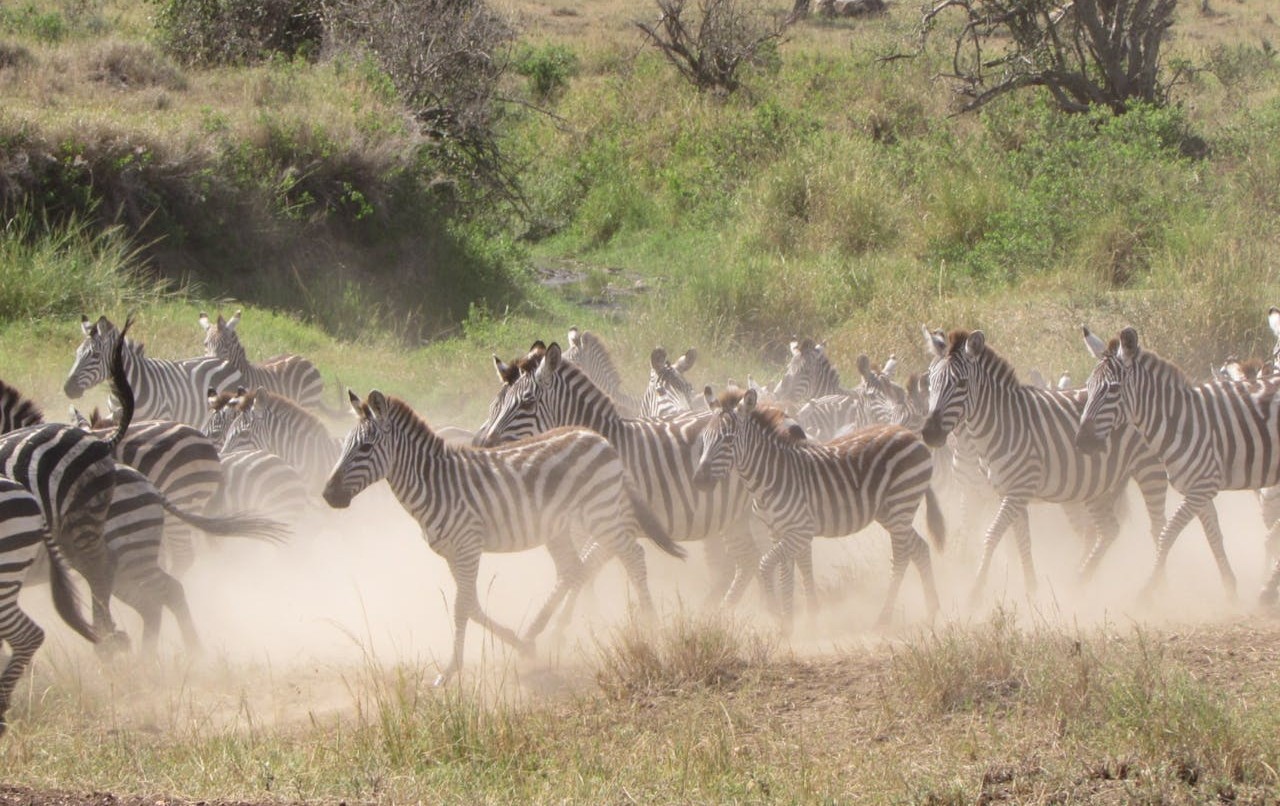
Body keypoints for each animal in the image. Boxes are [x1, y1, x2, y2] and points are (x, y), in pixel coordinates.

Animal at [322, 389, 685, 685]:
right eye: (345, 446)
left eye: (366, 447)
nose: (328, 495)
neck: (436, 484)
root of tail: (598, 438)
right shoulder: (453, 553)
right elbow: (471, 605)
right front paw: (519, 644)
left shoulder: (468, 545)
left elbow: (461, 607)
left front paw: (449, 671)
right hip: (564, 525)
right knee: (575, 569)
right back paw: (542, 632)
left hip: (601, 513)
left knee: (633, 557)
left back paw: (652, 629)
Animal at [473, 342, 764, 608]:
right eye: (497, 403)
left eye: (528, 402)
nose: (482, 445)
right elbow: (581, 569)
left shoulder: (614, 523)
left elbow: (584, 568)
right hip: (735, 516)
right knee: (747, 560)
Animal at [692, 387, 944, 629]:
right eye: (704, 439)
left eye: (727, 440)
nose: (698, 481)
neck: (770, 477)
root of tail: (912, 435)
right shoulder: (778, 532)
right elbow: (786, 573)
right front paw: (788, 622)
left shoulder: (800, 531)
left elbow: (766, 565)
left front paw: (775, 613)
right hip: (891, 513)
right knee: (920, 548)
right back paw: (932, 610)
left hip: (900, 506)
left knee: (902, 557)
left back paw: (883, 618)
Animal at [921, 328, 1170, 602]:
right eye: (930, 381)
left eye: (961, 384)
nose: (929, 433)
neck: (1000, 424)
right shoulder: (1006, 492)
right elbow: (1022, 540)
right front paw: (1031, 589)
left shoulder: (1017, 490)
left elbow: (993, 534)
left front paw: (975, 591)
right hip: (1097, 483)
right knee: (1108, 530)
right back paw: (1080, 580)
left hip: (1150, 469)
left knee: (1158, 528)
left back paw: (1158, 588)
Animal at [1075, 326, 1280, 600]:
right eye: (1088, 387)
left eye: (1113, 390)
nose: (1081, 442)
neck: (1180, 422)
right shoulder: (1200, 491)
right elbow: (1214, 538)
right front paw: (1230, 591)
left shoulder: (1202, 488)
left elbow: (1166, 534)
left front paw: (1147, 591)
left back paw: (1267, 593)